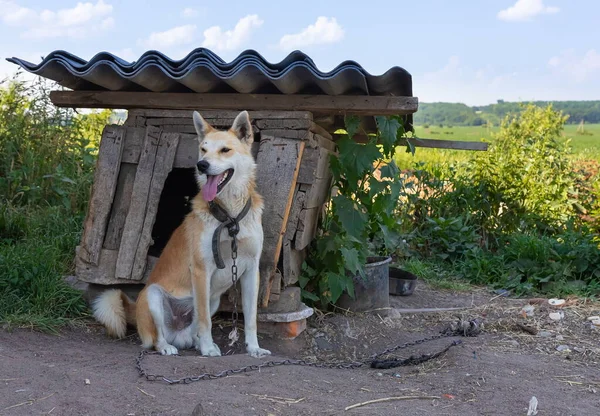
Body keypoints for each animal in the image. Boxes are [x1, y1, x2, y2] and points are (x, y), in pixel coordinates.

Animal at [92, 109, 270, 358]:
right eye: (203, 149)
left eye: (225, 150)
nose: (201, 165)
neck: (230, 217)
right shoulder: (202, 270)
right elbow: (205, 321)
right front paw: (208, 349)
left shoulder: (251, 270)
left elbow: (251, 318)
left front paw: (253, 348)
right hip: (154, 296)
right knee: (156, 339)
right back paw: (172, 347)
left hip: (213, 300)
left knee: (192, 329)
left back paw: (195, 342)